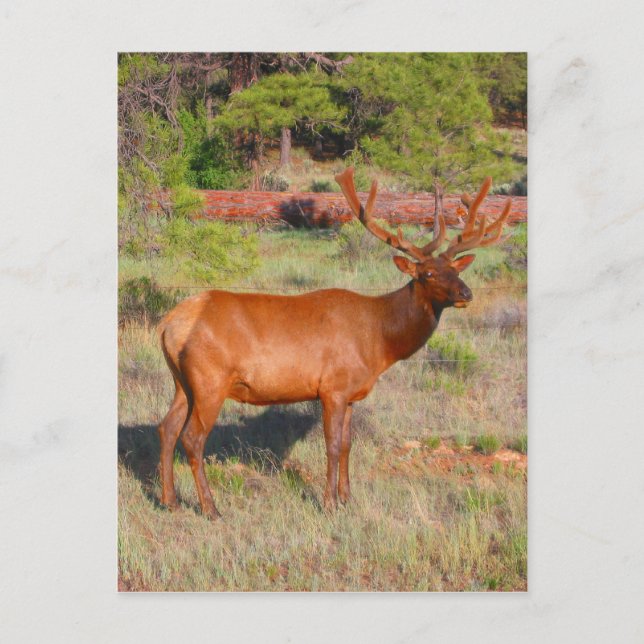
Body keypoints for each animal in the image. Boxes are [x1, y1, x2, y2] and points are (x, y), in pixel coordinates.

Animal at [156, 167, 512, 519]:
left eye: (454, 269)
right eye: (427, 274)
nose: (466, 293)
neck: (379, 342)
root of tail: (169, 324)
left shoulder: (352, 394)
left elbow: (347, 445)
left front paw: (347, 498)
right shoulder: (333, 388)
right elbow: (330, 445)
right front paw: (328, 503)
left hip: (182, 382)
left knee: (167, 428)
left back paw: (170, 501)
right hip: (210, 380)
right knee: (192, 437)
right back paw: (211, 508)